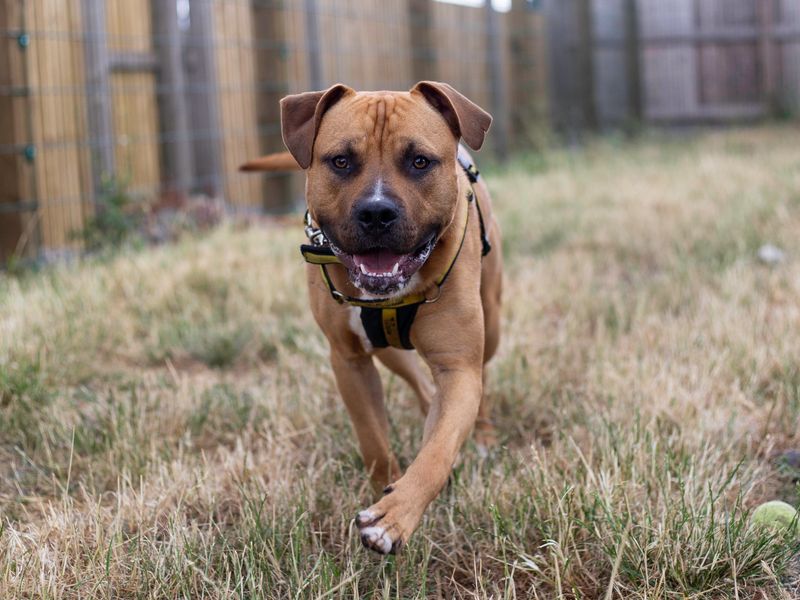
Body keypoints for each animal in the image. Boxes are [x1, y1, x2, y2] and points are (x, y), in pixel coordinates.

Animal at [241, 82, 504, 556]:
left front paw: (394, 517)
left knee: (483, 374)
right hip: (386, 350)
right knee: (419, 382)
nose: (377, 213)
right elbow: (373, 439)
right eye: (341, 161)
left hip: (491, 320)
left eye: (419, 161)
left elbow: (438, 452)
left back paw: (484, 433)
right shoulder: (349, 361)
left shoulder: (458, 367)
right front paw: (388, 487)